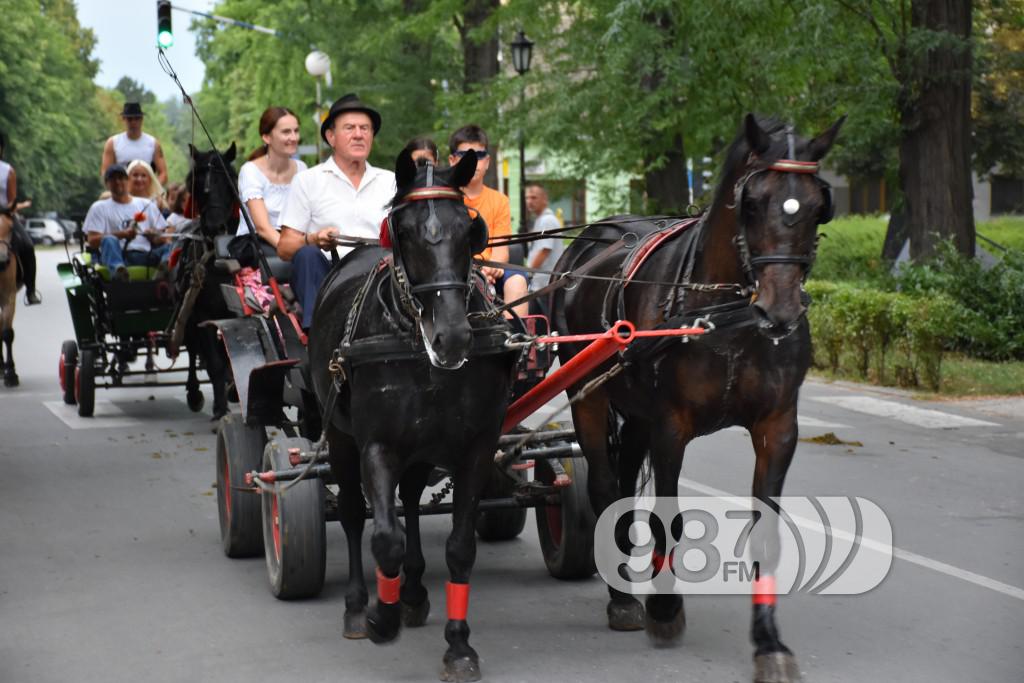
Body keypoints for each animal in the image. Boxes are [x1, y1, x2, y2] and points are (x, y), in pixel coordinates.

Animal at [301, 150, 512, 683]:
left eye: (468, 228)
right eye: (407, 231)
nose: (452, 337)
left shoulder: (476, 446)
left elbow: (459, 546)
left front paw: (458, 645)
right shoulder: (378, 446)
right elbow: (384, 539)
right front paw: (382, 615)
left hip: (424, 447)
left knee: (412, 499)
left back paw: (414, 591)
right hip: (340, 437)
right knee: (354, 514)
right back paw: (360, 605)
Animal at [557, 114, 843, 679]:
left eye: (818, 204)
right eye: (752, 202)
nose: (780, 310)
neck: (728, 315)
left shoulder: (779, 427)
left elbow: (765, 532)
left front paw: (768, 642)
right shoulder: (672, 425)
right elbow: (669, 519)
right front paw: (665, 610)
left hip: (634, 412)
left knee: (624, 484)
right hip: (588, 397)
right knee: (603, 485)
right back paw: (622, 598)